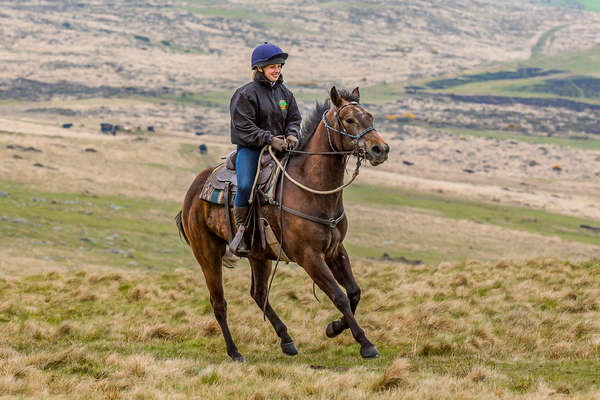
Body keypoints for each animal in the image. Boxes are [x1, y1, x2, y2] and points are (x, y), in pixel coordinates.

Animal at [175, 86, 390, 360]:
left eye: (370, 116)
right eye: (350, 119)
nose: (380, 149)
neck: (312, 190)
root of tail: (192, 192)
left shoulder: (335, 250)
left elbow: (354, 292)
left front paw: (334, 327)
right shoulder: (309, 257)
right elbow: (339, 296)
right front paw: (365, 343)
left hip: (259, 254)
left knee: (258, 293)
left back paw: (286, 339)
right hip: (208, 253)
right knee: (219, 303)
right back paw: (235, 352)